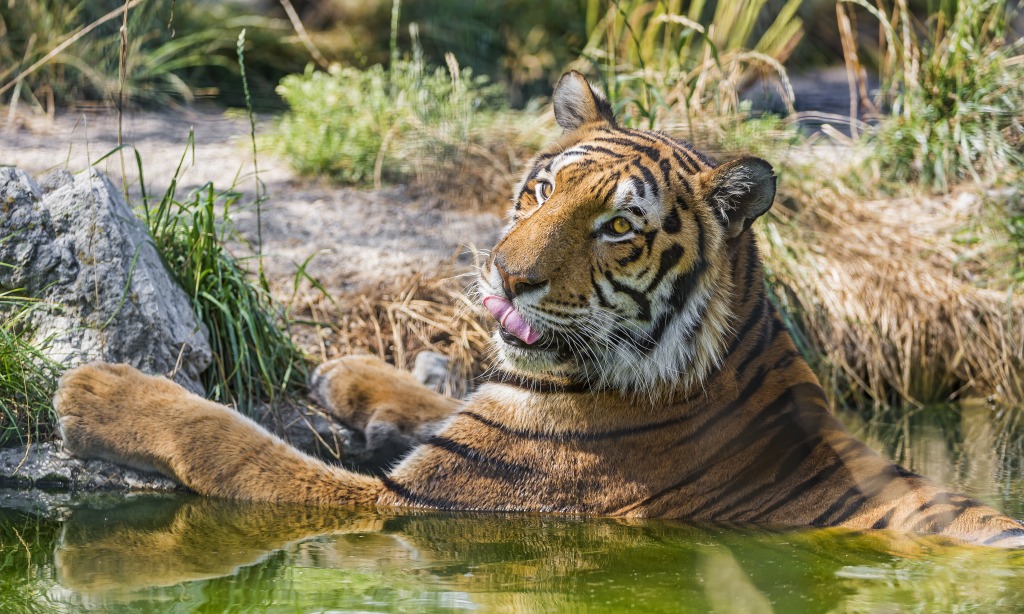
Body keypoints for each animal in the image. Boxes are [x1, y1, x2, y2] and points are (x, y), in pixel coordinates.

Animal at [51, 70, 1024, 548]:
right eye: (543, 190)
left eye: (618, 228)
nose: (505, 276)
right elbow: (442, 392)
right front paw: (352, 372)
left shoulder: (410, 505)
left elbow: (234, 442)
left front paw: (101, 392)